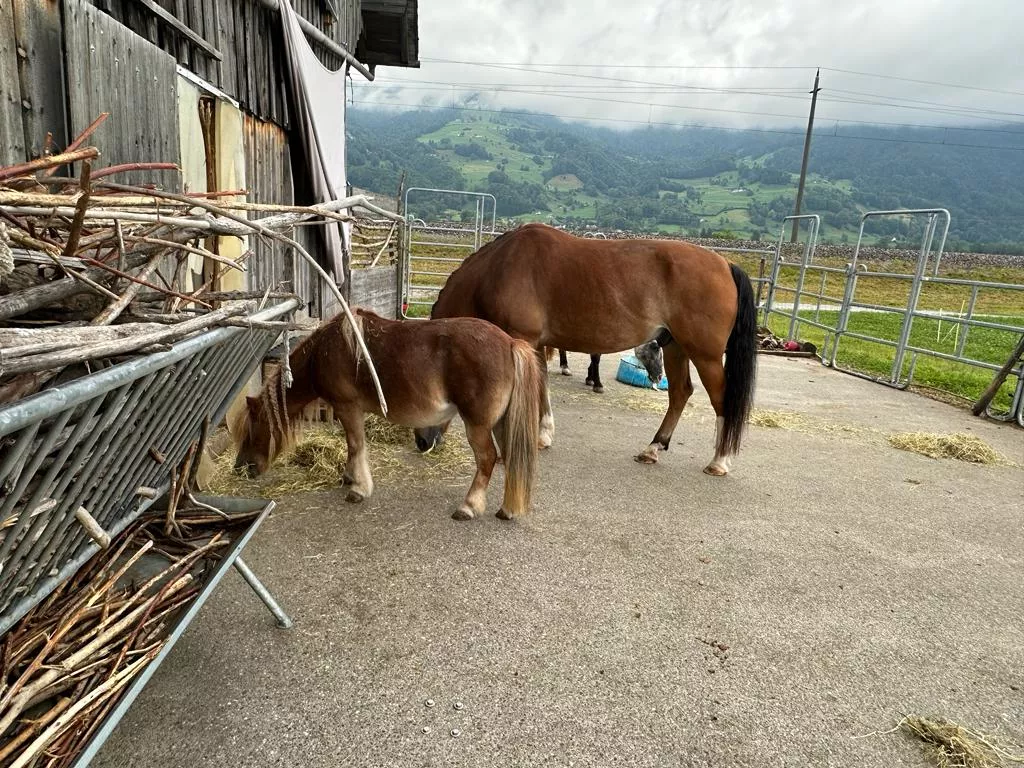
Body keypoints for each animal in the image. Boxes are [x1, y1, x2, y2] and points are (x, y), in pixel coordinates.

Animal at [234, 309, 544, 524]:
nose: (241, 468)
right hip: (501, 423)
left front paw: (358, 488)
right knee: (510, 457)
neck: (324, 352)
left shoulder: (348, 408)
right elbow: (353, 446)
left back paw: (468, 507)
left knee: (488, 459)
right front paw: (349, 477)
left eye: (252, 430)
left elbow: (356, 445)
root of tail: (510, 343)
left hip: (478, 426)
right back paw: (507, 509)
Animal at [417, 222, 761, 475]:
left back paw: (720, 461)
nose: (422, 442)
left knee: (720, 400)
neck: (500, 269)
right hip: (676, 347)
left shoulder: (523, 339)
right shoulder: (538, 344)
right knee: (679, 394)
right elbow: (541, 388)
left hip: (705, 355)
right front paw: (543, 434)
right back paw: (653, 449)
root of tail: (725, 263)